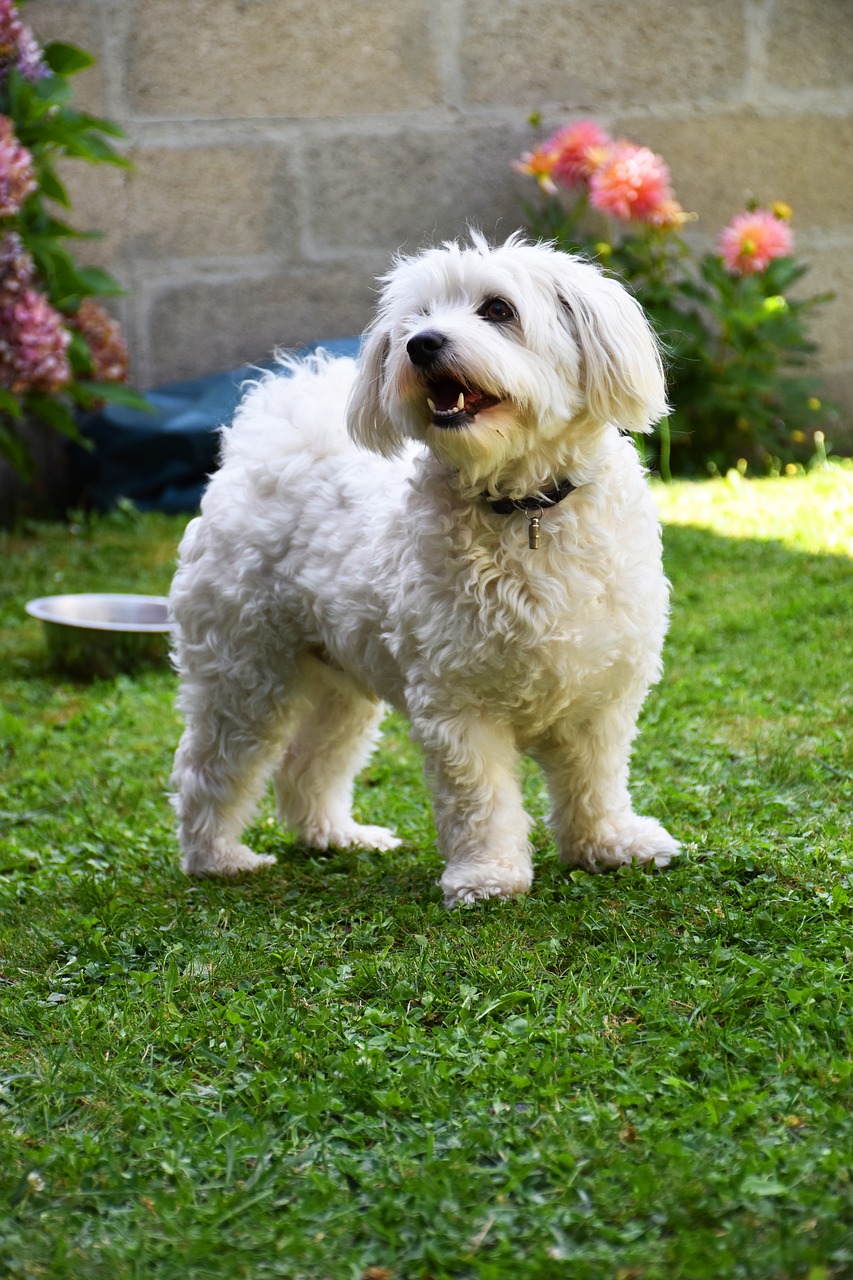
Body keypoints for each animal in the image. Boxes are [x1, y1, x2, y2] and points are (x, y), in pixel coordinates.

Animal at [169, 235, 676, 906]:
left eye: (497, 309)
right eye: (416, 318)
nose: (422, 343)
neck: (524, 509)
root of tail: (267, 445)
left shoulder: (600, 697)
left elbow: (595, 780)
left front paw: (608, 844)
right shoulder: (459, 706)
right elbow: (482, 800)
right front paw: (488, 875)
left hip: (338, 684)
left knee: (307, 763)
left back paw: (335, 837)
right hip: (246, 675)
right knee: (210, 766)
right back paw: (216, 857)